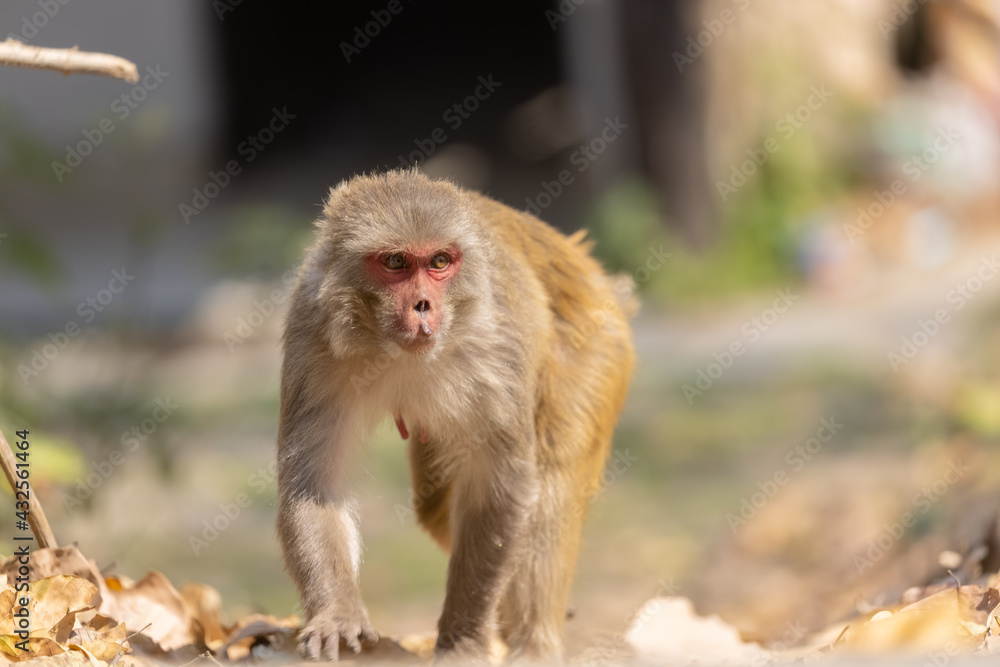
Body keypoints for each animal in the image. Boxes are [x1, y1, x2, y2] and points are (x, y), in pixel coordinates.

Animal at [276, 168, 632, 664]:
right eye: (395, 263)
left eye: (440, 262)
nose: (423, 304)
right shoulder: (312, 333)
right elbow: (316, 483)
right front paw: (337, 614)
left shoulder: (496, 348)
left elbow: (498, 485)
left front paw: (463, 640)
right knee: (436, 504)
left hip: (596, 346)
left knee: (549, 485)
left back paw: (534, 645)